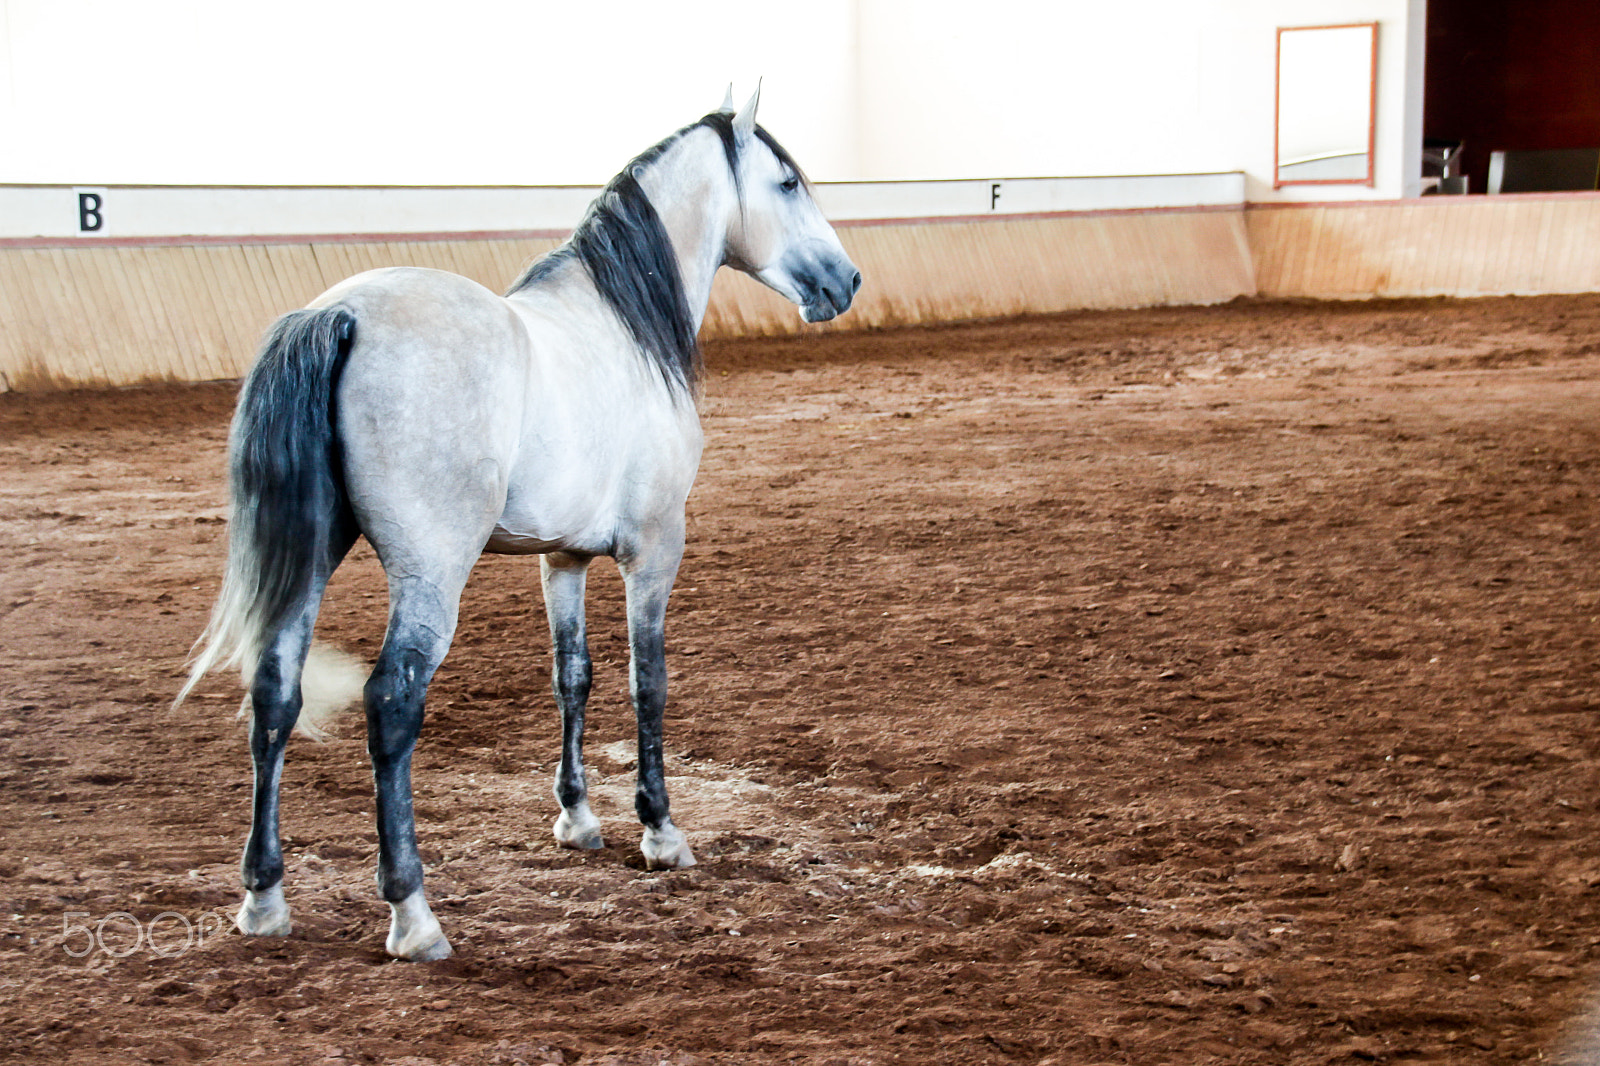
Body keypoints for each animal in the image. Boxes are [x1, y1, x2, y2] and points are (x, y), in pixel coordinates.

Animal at [175, 88, 861, 961]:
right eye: (788, 183)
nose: (846, 279)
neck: (618, 330)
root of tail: (340, 315)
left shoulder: (560, 559)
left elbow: (573, 676)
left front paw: (578, 818)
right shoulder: (653, 551)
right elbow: (647, 681)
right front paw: (660, 831)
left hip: (314, 559)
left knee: (274, 694)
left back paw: (264, 899)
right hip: (431, 571)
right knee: (391, 703)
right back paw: (413, 914)